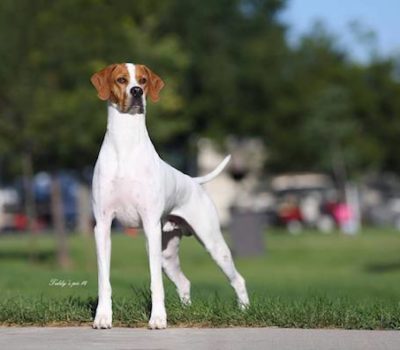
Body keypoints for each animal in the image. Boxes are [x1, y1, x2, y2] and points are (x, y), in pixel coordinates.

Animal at [90, 63, 250, 330]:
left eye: (143, 80)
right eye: (121, 79)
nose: (136, 91)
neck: (125, 145)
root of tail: (194, 181)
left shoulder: (150, 226)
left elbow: (156, 283)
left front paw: (158, 319)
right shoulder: (102, 225)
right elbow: (104, 281)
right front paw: (102, 317)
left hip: (211, 242)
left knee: (238, 279)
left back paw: (244, 311)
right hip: (167, 253)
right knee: (184, 282)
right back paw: (187, 311)